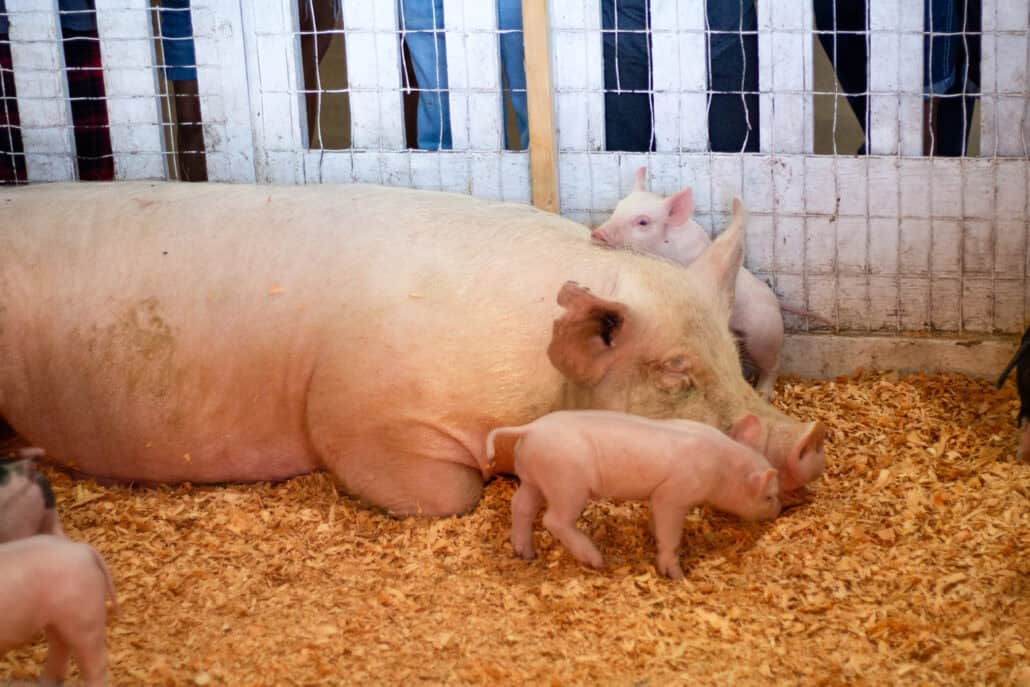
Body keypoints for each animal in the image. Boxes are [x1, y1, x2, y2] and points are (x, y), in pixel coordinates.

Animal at [487, 411, 781, 579]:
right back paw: (596, 559)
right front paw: (677, 576)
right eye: (768, 497)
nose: (780, 509)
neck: (722, 466)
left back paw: (525, 553)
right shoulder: (673, 494)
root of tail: (531, 428)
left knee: (521, 505)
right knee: (554, 520)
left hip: (534, 478)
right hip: (567, 484)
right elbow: (669, 532)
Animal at [590, 168, 830, 399]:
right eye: (618, 207)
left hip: (765, 334)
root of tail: (777, 303)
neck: (668, 246)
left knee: (773, 364)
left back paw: (763, 394)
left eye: (643, 222)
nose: (597, 233)